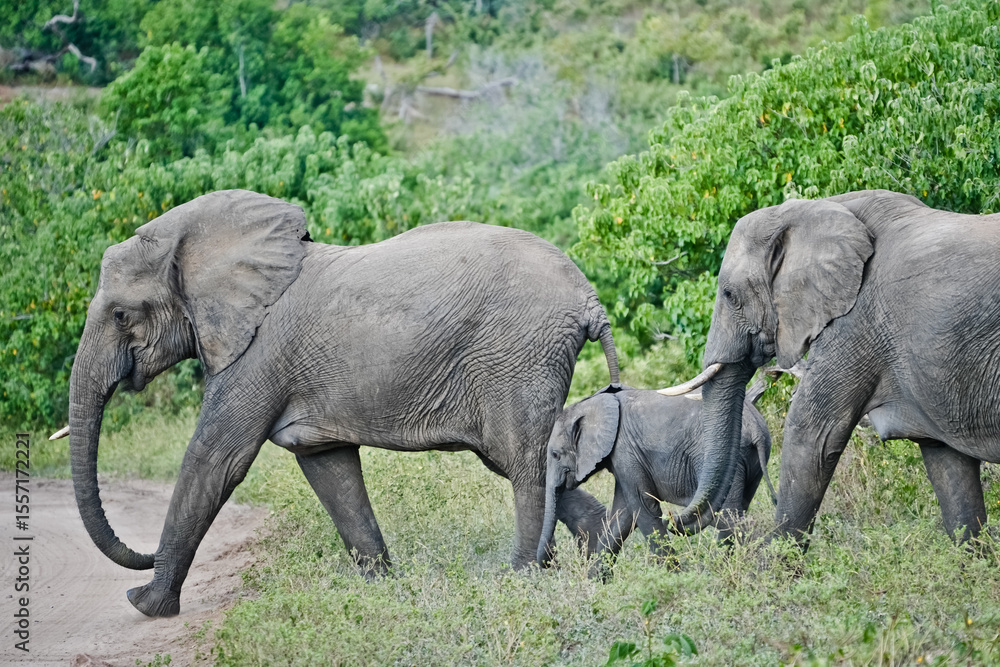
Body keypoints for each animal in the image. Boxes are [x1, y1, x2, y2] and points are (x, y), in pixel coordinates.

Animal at [56, 189, 619, 617]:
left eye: (122, 315)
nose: (140, 558)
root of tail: (589, 298)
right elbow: (328, 469)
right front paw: (383, 590)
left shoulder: (257, 354)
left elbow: (215, 461)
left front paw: (144, 605)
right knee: (526, 462)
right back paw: (600, 564)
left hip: (517, 355)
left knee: (524, 463)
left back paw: (523, 581)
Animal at [537, 376, 775, 567]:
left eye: (555, 455)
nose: (546, 563)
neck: (592, 404)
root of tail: (755, 428)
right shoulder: (626, 459)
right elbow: (623, 516)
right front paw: (596, 584)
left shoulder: (625, 451)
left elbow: (645, 509)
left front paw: (676, 576)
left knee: (729, 518)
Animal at [661, 189, 1000, 546]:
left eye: (729, 294)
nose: (670, 519)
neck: (816, 209)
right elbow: (946, 463)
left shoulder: (854, 322)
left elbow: (812, 434)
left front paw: (775, 558)